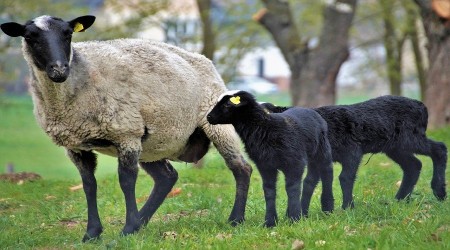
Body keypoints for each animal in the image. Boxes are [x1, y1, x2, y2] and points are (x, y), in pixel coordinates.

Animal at [0, 14, 251, 241]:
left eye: (68, 34)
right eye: (30, 37)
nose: (59, 69)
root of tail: (202, 58)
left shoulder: (126, 133)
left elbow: (126, 181)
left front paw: (127, 230)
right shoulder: (76, 146)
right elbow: (88, 185)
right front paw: (92, 234)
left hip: (214, 122)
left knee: (241, 168)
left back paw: (236, 220)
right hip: (152, 143)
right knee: (166, 178)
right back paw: (143, 221)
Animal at [207, 90, 334, 227]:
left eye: (227, 105)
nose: (208, 117)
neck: (265, 128)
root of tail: (309, 110)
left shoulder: (295, 162)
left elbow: (292, 189)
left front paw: (294, 218)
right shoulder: (265, 165)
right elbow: (269, 190)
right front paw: (270, 222)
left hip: (322, 151)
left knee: (327, 173)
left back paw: (328, 208)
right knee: (310, 180)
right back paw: (304, 212)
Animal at [260, 94, 446, 208]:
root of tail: (421, 106)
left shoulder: (352, 151)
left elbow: (344, 178)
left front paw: (347, 207)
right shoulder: (319, 159)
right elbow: (310, 182)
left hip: (410, 137)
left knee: (439, 149)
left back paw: (440, 192)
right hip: (395, 147)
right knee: (414, 165)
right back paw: (400, 199)